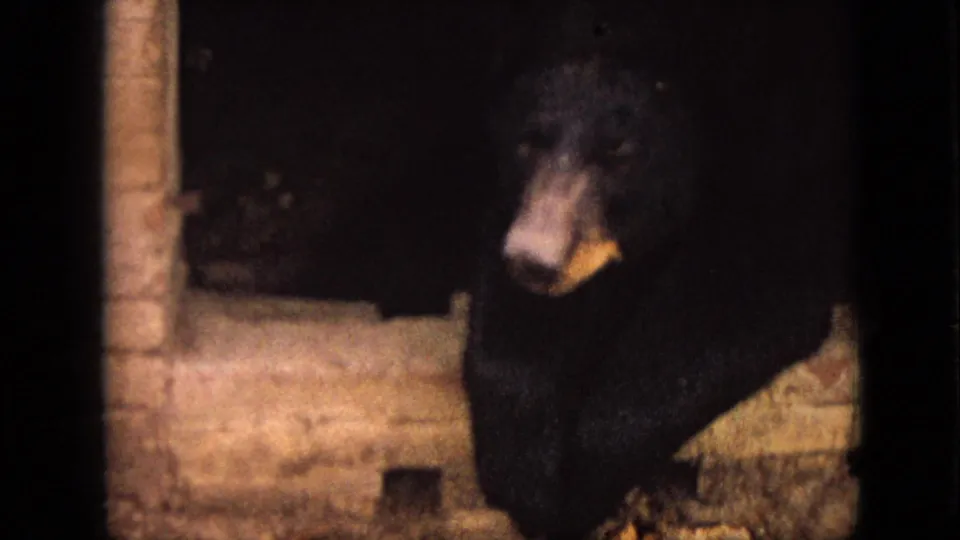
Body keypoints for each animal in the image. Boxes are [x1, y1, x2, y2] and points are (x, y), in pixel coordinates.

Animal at [461, 1, 853, 538]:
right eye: (530, 141)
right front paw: (525, 474)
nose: (535, 260)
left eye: (619, 150)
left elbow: (742, 293)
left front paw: (581, 487)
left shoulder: (789, 145)